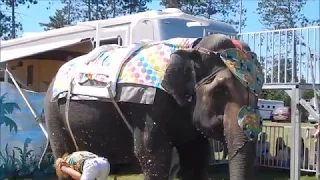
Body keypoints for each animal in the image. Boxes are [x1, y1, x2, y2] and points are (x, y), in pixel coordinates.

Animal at [42, 34, 262, 180]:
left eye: (257, 96)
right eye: (221, 90)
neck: (193, 47)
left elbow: (196, 155)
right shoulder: (149, 108)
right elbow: (152, 155)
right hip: (53, 113)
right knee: (62, 158)